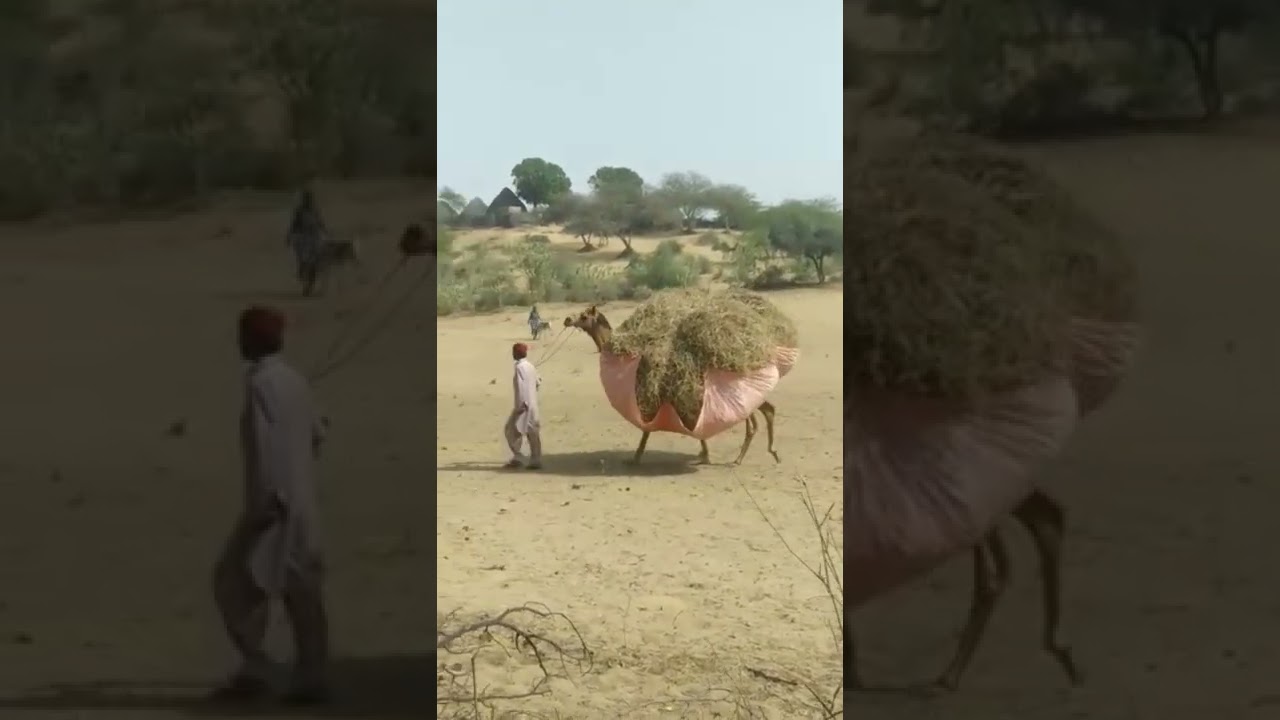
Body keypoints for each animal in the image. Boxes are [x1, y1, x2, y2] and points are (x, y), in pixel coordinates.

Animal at [564, 305, 779, 466]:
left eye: (584, 315)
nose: (567, 319)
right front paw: (704, 454)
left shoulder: (649, 398)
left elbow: (647, 429)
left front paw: (635, 458)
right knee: (765, 410)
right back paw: (769, 453)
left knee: (755, 419)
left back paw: (744, 458)